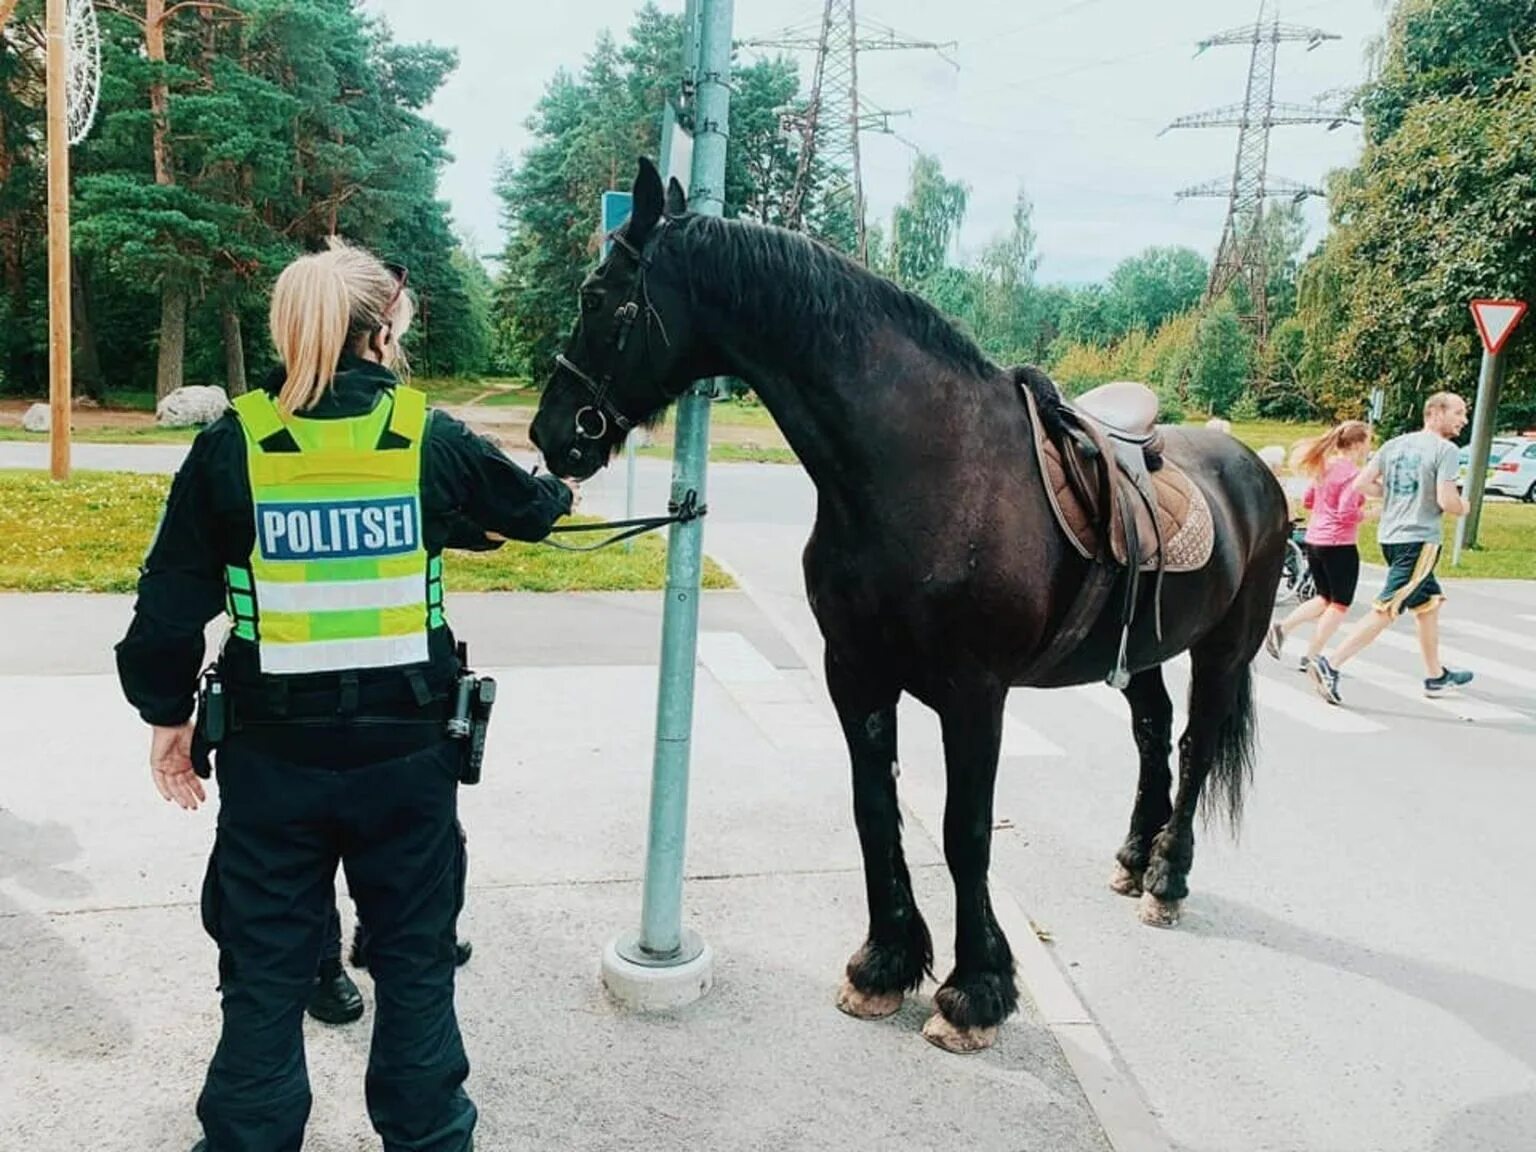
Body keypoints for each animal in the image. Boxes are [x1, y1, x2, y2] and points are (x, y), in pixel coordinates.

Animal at [528, 160, 1284, 1056]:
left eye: (597, 295)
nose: (550, 434)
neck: (920, 469)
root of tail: (1255, 470)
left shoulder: (975, 696)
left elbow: (964, 831)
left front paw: (974, 992)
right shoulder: (854, 674)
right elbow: (873, 809)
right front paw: (884, 965)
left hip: (1224, 650)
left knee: (1197, 746)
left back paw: (1167, 877)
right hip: (1141, 655)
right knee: (1151, 734)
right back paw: (1135, 857)